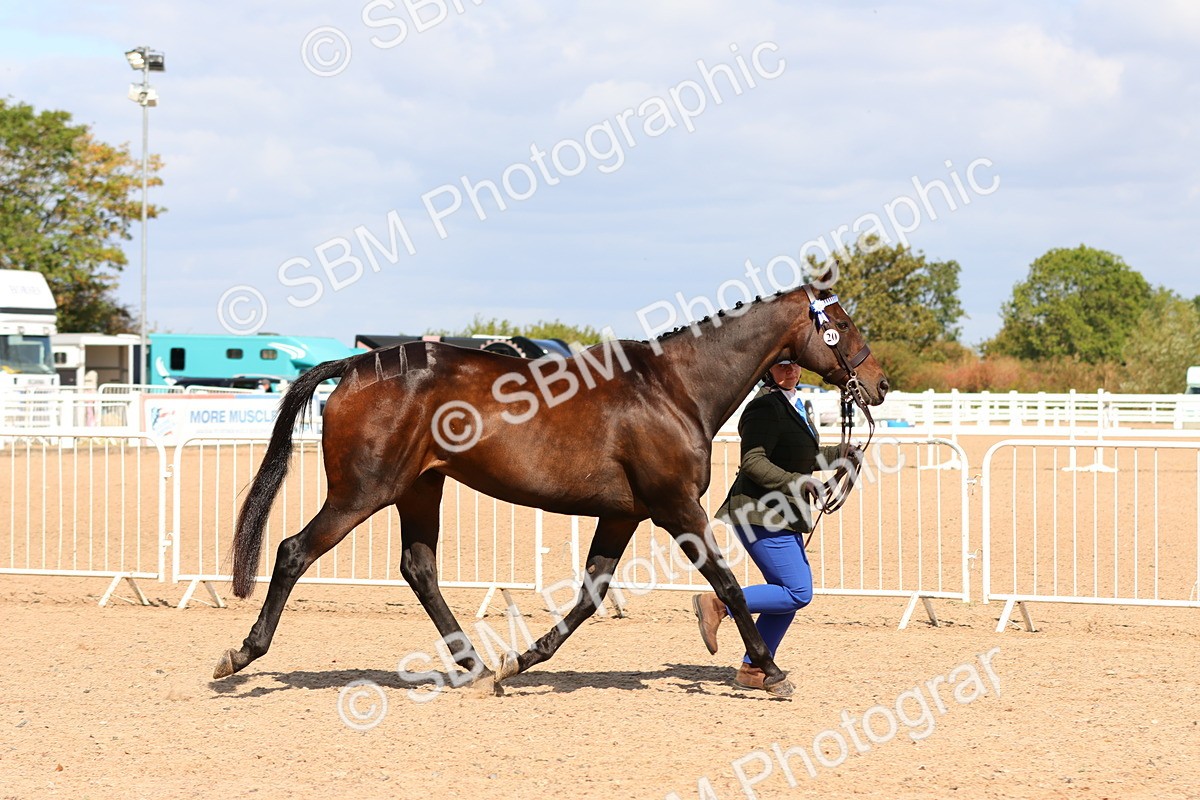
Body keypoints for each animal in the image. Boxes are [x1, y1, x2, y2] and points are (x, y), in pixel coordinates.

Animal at [212, 282, 889, 696]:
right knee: (293, 551)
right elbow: (725, 583)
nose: (879, 385)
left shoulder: (625, 515)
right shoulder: (677, 508)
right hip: (362, 492)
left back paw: (475, 664)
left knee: (418, 567)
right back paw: (240, 655)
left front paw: (521, 660)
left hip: (420, 488)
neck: (674, 388)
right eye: (841, 322)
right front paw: (771, 669)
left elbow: (590, 595)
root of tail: (353, 366)